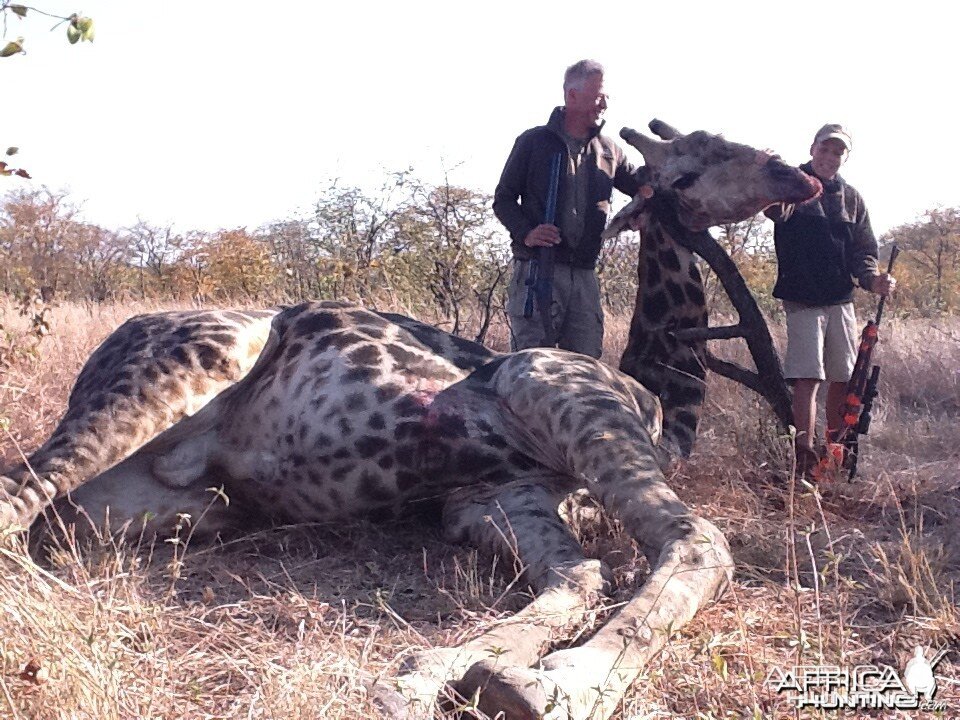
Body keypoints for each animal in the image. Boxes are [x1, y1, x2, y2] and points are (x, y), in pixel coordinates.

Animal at [1, 122, 824, 720]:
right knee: (20, 488)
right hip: (182, 368)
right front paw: (556, 683)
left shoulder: (499, 497)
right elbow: (693, 544)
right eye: (707, 151)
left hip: (171, 510)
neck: (662, 400)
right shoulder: (556, 388)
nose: (802, 175)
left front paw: (438, 672)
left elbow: (578, 578)